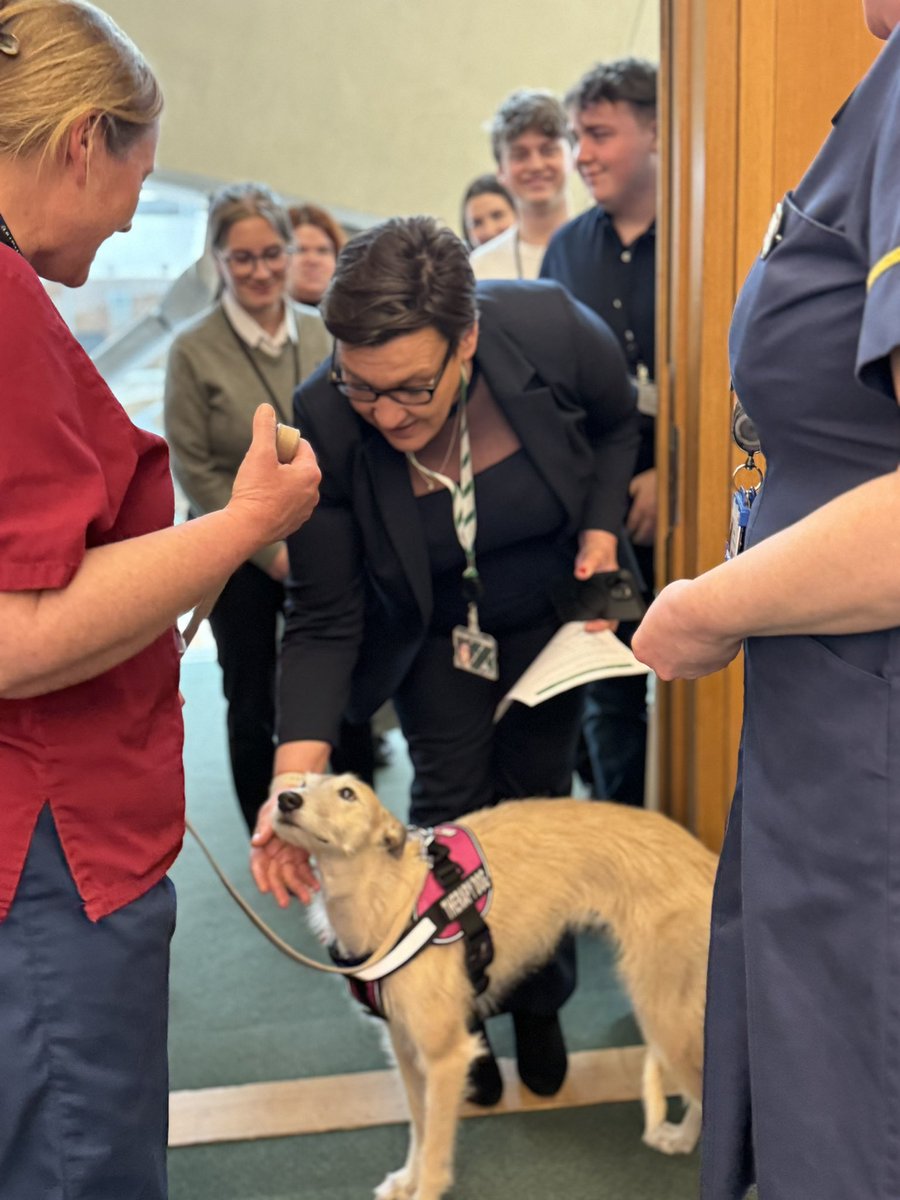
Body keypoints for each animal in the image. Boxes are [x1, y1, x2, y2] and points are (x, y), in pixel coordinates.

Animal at [274, 772, 720, 1200]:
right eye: (300, 782)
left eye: (348, 793)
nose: (284, 799)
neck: (392, 898)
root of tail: (707, 859)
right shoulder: (403, 1045)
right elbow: (419, 1126)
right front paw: (406, 1180)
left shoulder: (446, 1056)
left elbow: (435, 1145)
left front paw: (424, 1189)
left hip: (666, 1016)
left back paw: (683, 1139)